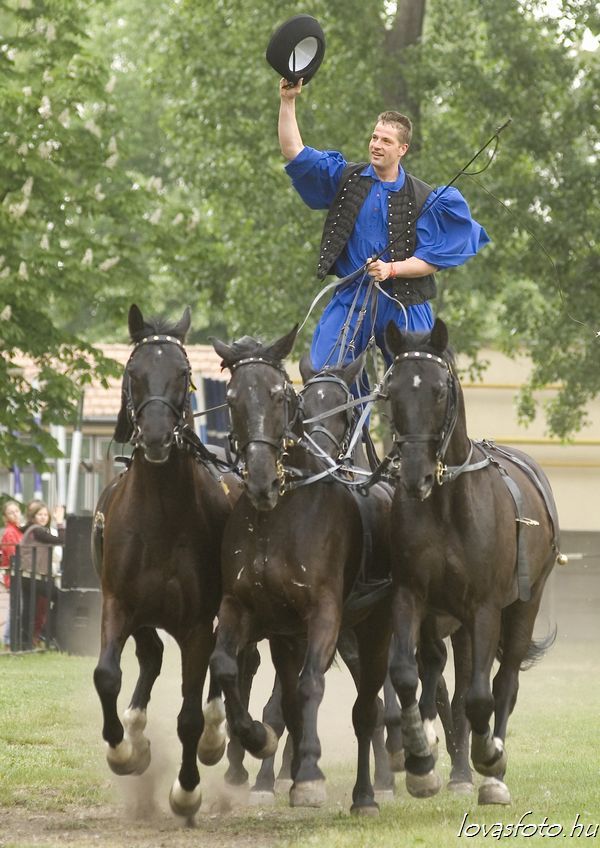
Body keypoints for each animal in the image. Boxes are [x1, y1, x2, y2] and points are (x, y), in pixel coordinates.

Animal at [92, 304, 242, 820]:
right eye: (133, 373)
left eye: (183, 373)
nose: (156, 436)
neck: (159, 513)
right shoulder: (118, 603)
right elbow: (107, 675)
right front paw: (123, 750)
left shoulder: (196, 623)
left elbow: (191, 714)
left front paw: (187, 789)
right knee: (151, 656)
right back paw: (136, 734)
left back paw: (216, 735)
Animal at [209, 327, 394, 814]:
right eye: (232, 398)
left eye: (278, 395)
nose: (260, 479)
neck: (278, 515)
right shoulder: (244, 609)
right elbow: (227, 667)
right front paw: (257, 740)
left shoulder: (324, 613)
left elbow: (311, 686)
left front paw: (309, 774)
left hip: (373, 630)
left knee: (369, 709)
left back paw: (367, 794)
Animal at [383, 317, 560, 805]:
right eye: (392, 389)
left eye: (439, 390)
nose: (415, 476)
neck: (446, 502)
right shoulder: (411, 594)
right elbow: (406, 673)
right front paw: (419, 756)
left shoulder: (484, 607)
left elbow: (482, 695)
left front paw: (489, 757)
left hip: (525, 603)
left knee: (505, 683)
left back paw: (492, 774)